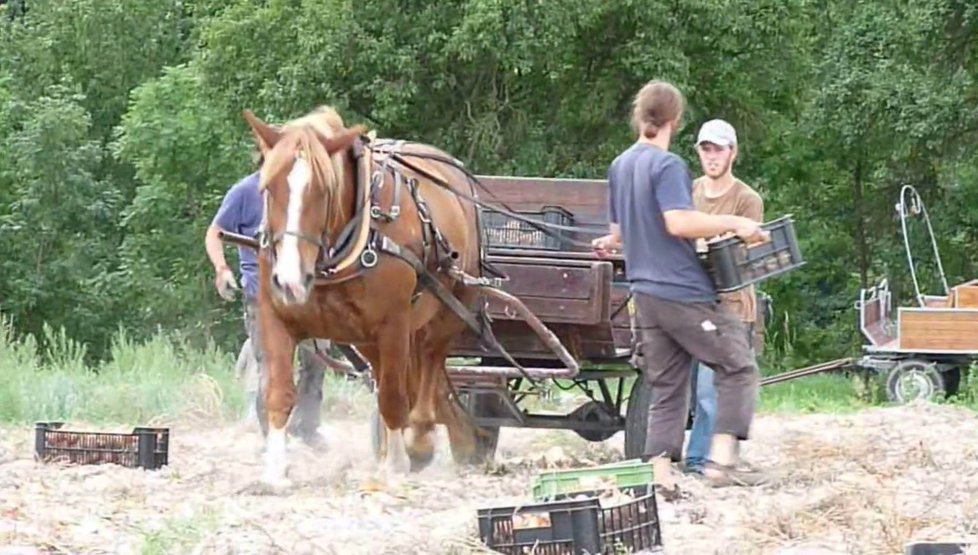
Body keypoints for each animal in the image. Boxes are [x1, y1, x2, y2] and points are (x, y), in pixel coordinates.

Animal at [244, 106, 488, 488]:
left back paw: (424, 439)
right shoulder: (276, 319)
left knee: (429, 365)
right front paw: (274, 471)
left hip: (450, 308)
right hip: (368, 337)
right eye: (268, 187)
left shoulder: (394, 324)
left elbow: (393, 397)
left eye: (324, 190)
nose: (290, 280)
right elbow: (279, 395)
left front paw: (398, 464)